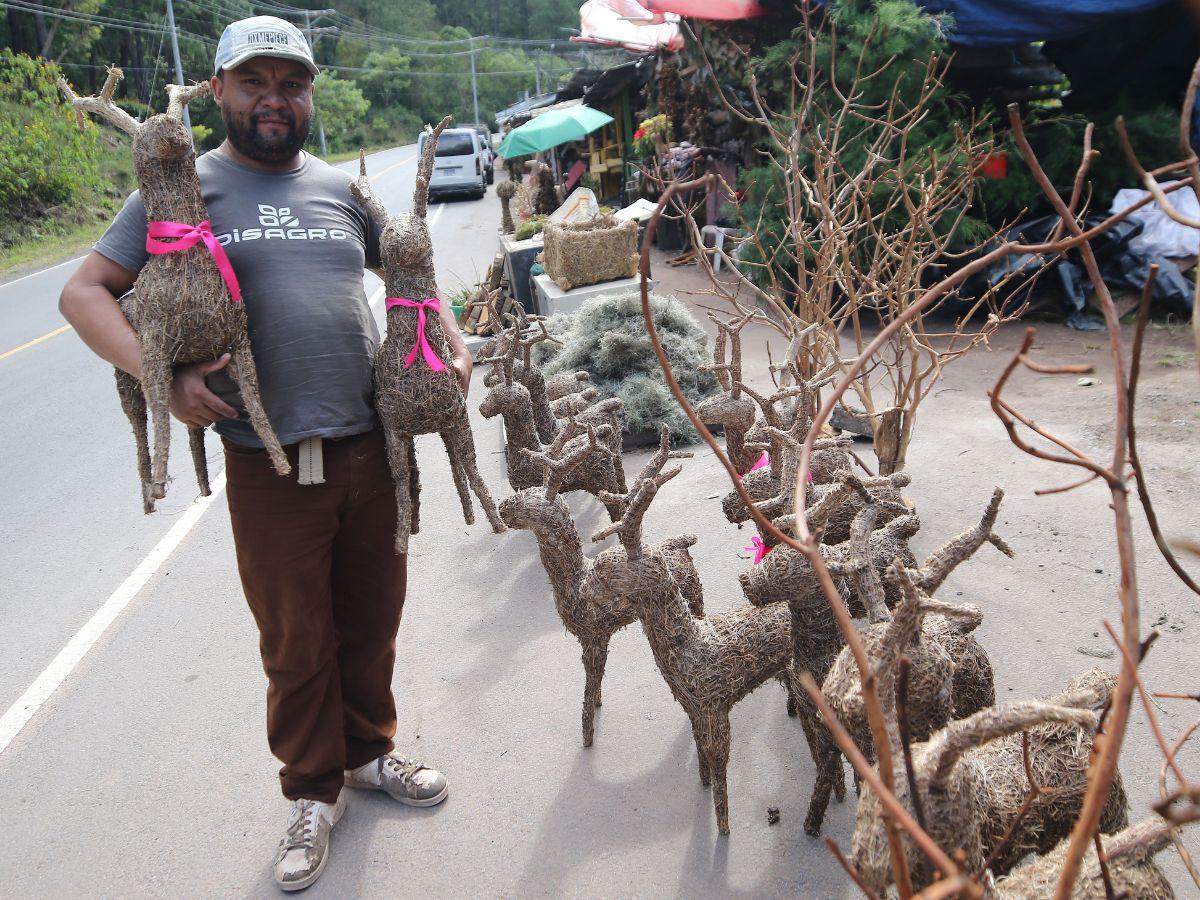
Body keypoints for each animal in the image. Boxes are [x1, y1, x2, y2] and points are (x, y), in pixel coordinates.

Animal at [60, 66, 288, 511]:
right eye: (142, 134)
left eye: (174, 115)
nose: (170, 130)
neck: (188, 250)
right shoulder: (154, 350)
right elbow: (163, 414)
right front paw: (161, 483)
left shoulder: (238, 343)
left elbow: (256, 407)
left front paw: (283, 462)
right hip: (126, 379)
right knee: (141, 425)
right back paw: (149, 495)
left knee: (193, 431)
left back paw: (203, 485)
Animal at [352, 120, 508, 554]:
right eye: (386, 232)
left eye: (420, 226)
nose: (397, 239)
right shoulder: (394, 429)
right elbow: (402, 482)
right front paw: (400, 538)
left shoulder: (455, 417)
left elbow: (470, 468)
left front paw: (495, 520)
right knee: (415, 477)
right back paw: (415, 527)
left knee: (454, 469)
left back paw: (469, 516)